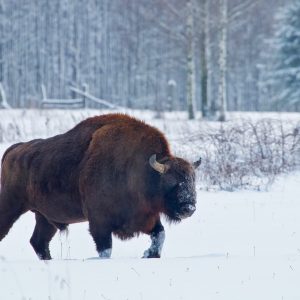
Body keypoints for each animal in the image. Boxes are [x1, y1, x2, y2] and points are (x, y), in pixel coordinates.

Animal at [0, 113, 202, 258]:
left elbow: (160, 234)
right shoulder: (99, 222)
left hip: (44, 217)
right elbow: (105, 250)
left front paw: (149, 254)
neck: (140, 171)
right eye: (172, 182)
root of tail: (13, 150)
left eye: (193, 180)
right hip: (11, 206)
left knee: (39, 242)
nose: (189, 208)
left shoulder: (146, 218)